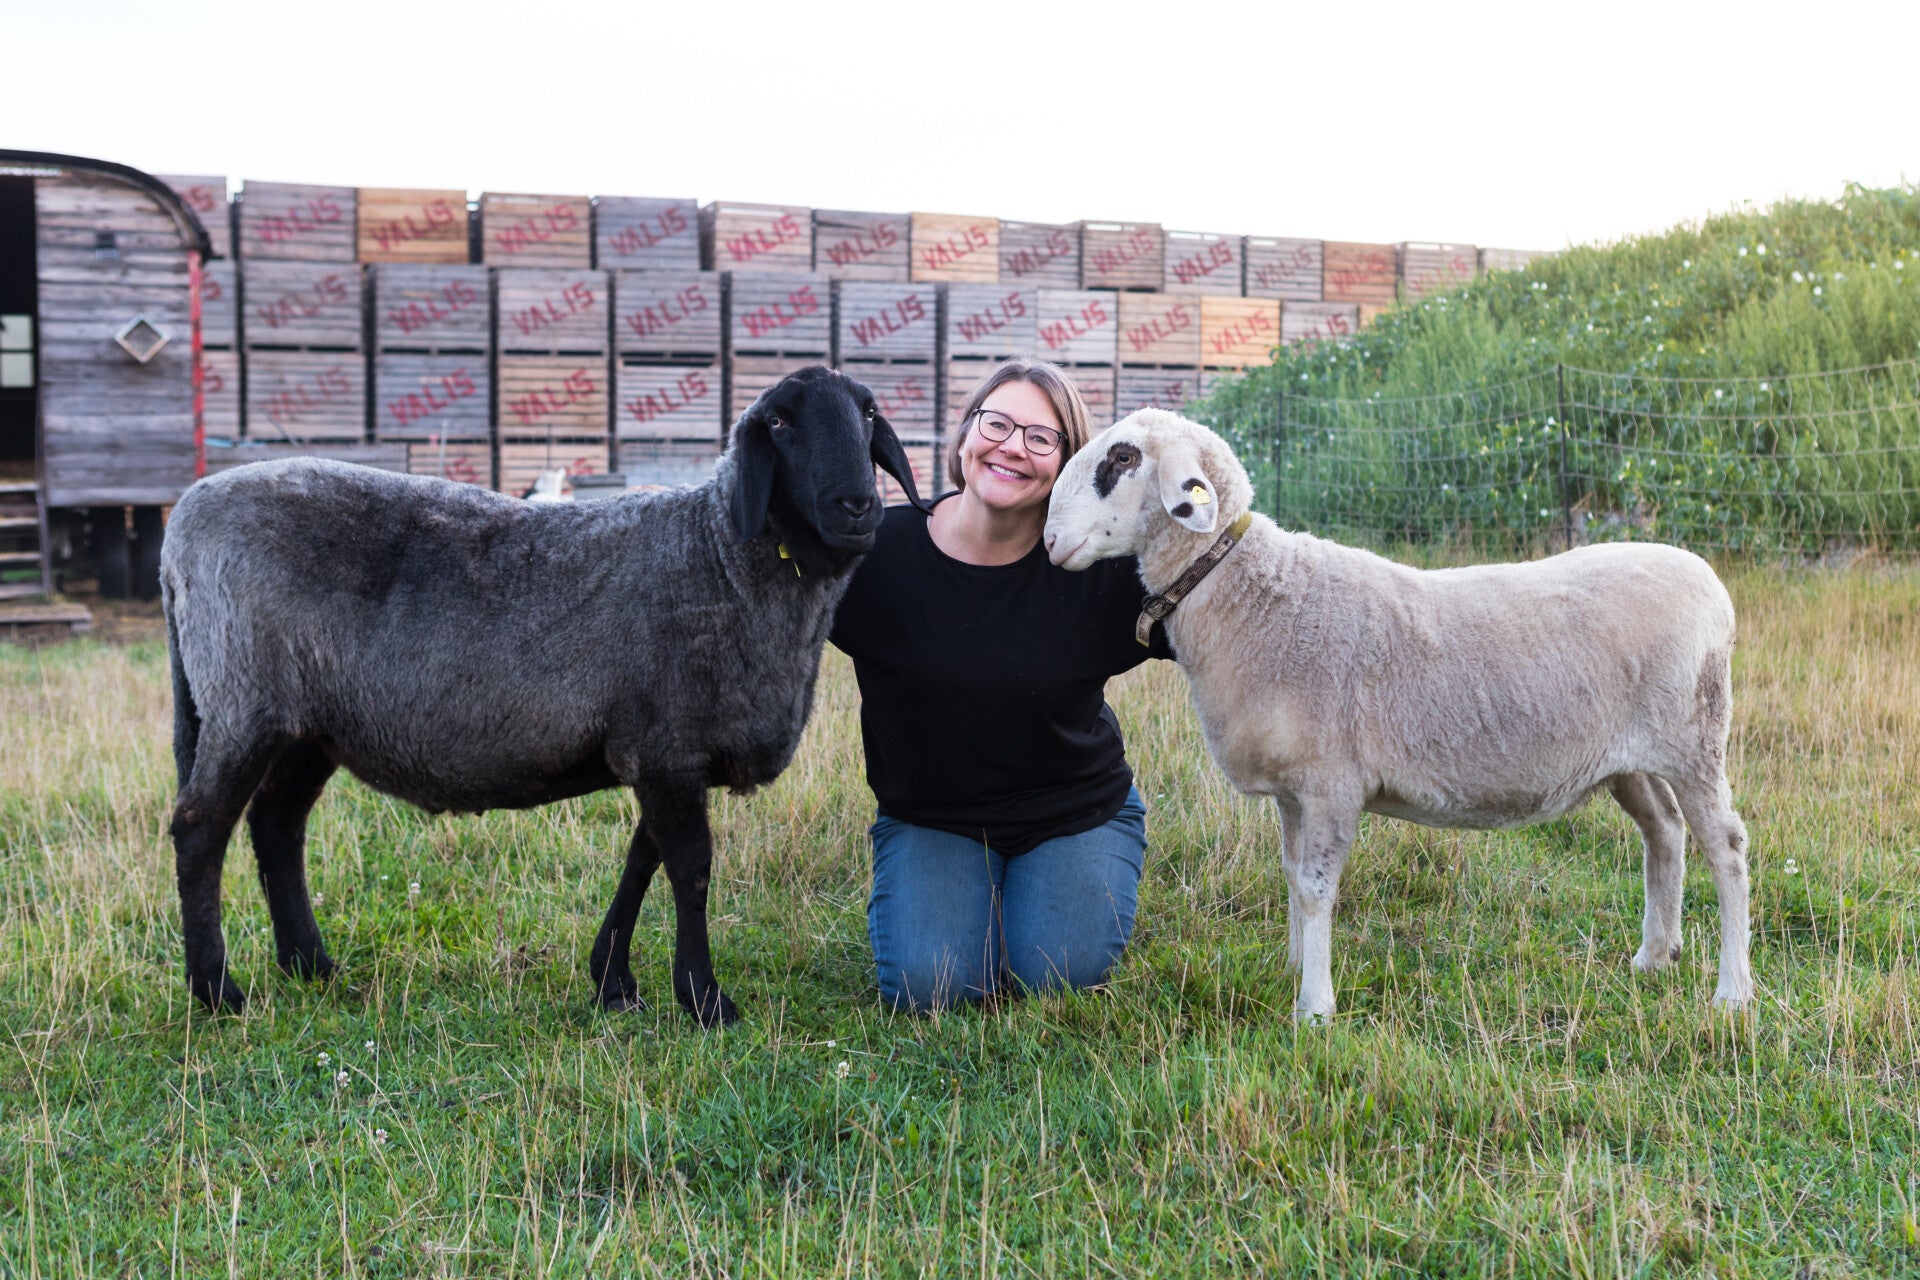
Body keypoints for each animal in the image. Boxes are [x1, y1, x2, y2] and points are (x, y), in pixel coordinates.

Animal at [161, 365, 922, 1026]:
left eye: (868, 414)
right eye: (781, 422)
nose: (858, 506)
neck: (720, 557)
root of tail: (181, 523)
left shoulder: (658, 749)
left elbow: (642, 859)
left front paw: (613, 980)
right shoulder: (667, 747)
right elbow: (690, 870)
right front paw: (705, 1000)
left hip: (308, 723)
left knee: (276, 825)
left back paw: (310, 965)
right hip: (242, 699)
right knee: (200, 829)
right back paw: (217, 991)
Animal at [1043, 409, 1752, 1021]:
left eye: (1123, 457)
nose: (1049, 539)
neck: (1254, 596)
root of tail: (1713, 588)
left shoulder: (1332, 783)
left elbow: (1316, 888)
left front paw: (1315, 1008)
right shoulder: (1294, 790)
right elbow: (1292, 878)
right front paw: (1294, 967)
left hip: (1694, 739)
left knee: (1726, 847)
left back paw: (1732, 991)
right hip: (1629, 759)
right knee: (1664, 831)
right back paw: (1654, 956)